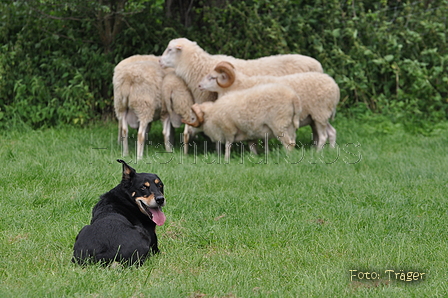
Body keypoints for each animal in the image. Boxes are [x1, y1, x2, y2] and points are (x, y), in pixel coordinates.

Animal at [198, 61, 338, 149]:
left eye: (212, 77)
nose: (199, 85)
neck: (237, 85)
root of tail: (334, 85)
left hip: (319, 114)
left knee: (323, 136)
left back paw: (318, 152)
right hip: (320, 116)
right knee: (332, 132)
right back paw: (330, 151)